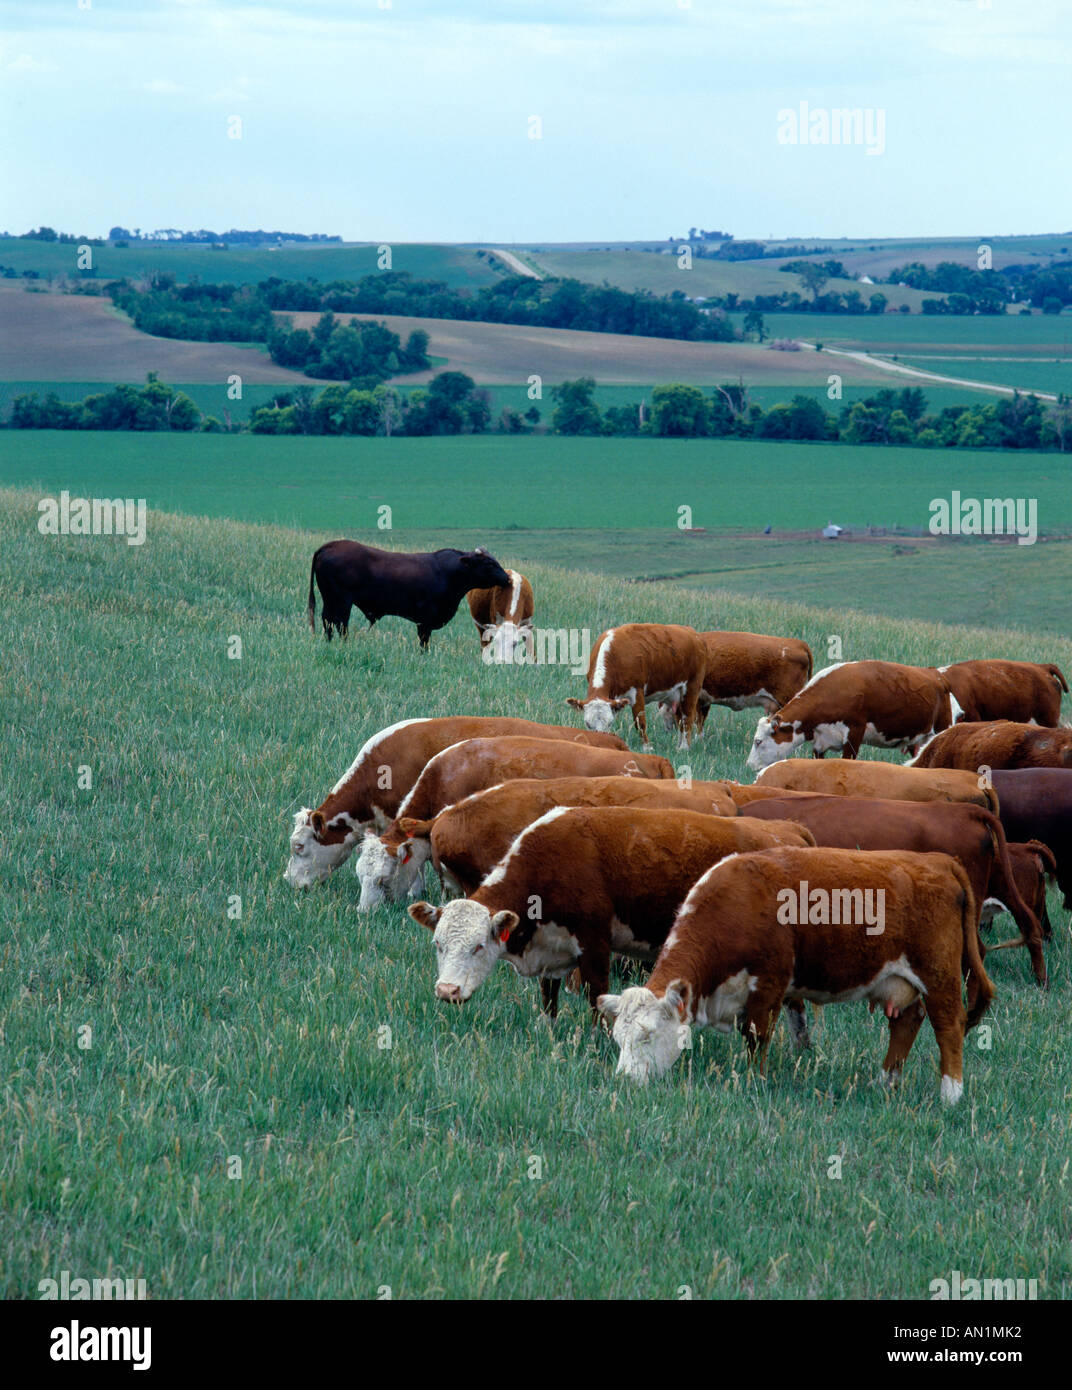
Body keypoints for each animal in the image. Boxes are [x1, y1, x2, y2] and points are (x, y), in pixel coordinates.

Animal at [307, 539, 512, 647]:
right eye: (489, 563)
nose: (507, 578)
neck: (448, 573)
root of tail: (329, 545)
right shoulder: (426, 619)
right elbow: (424, 641)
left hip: (330, 599)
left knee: (327, 620)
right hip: (341, 600)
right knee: (340, 622)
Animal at [407, 807, 817, 1018]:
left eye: (478, 946)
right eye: (438, 945)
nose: (446, 990)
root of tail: (789, 829)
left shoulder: (594, 945)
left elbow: (596, 999)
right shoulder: (552, 947)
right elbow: (549, 998)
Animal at [566, 623, 707, 750]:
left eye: (609, 723)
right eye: (588, 724)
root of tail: (693, 634)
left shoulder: (637, 691)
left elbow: (640, 722)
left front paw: (647, 747)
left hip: (692, 687)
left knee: (687, 718)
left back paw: (684, 747)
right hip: (674, 694)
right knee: (680, 720)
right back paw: (678, 746)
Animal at [598, 846, 994, 1106]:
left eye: (648, 1036)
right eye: (618, 1038)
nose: (624, 1081)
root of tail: (937, 860)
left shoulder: (768, 987)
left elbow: (756, 1037)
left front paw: (754, 1081)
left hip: (938, 974)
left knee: (948, 1026)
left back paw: (951, 1094)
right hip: (900, 980)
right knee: (906, 1023)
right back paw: (885, 1081)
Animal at [746, 661, 957, 769]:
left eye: (758, 741)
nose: (748, 765)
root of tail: (938, 676)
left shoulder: (854, 733)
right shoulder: (820, 742)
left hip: (941, 728)